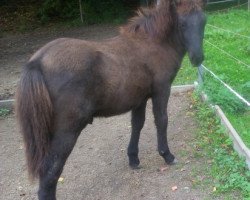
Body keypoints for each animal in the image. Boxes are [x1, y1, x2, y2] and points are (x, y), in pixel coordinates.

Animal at [16, 0, 207, 199]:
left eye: (204, 21)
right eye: (182, 24)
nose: (198, 58)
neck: (152, 43)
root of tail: (38, 61)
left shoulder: (139, 99)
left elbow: (137, 124)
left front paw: (133, 159)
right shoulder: (161, 91)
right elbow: (161, 121)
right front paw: (167, 155)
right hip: (67, 132)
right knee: (50, 173)